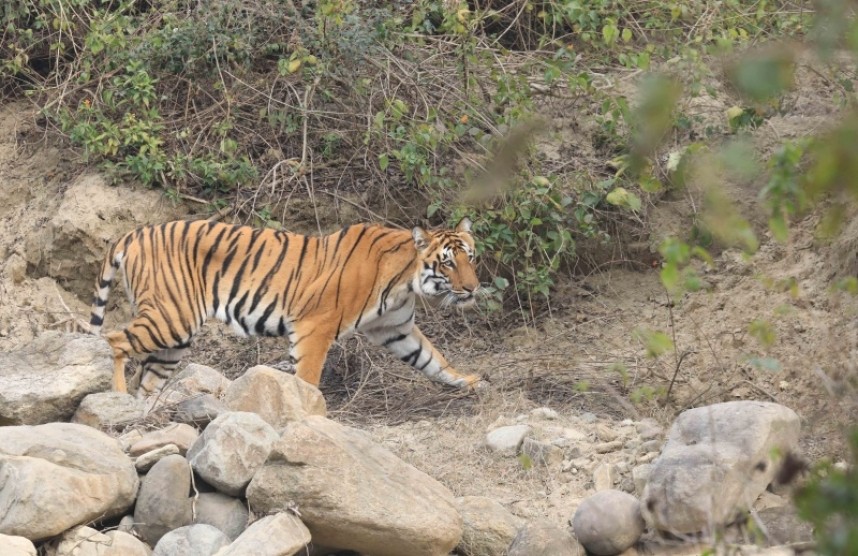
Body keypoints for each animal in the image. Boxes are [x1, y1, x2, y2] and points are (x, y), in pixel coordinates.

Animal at [89, 218, 484, 397]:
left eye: (471, 256)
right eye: (448, 263)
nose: (473, 288)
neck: (405, 281)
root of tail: (135, 232)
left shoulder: (396, 330)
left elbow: (434, 359)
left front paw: (469, 381)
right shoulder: (315, 326)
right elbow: (307, 377)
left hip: (174, 338)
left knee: (147, 378)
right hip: (171, 318)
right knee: (113, 340)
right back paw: (117, 397)